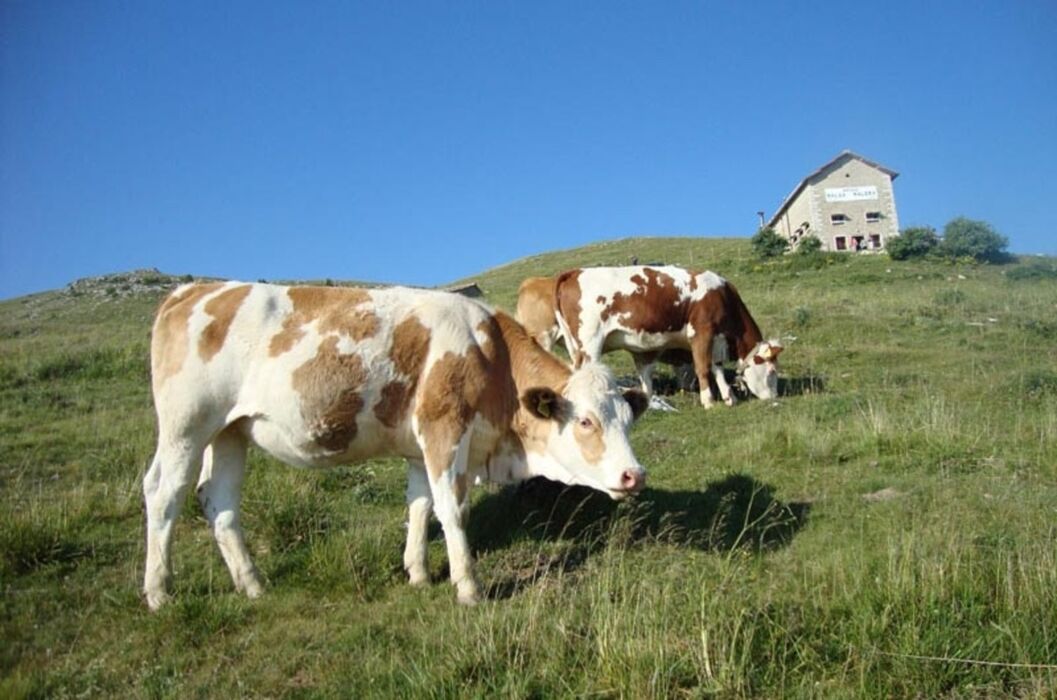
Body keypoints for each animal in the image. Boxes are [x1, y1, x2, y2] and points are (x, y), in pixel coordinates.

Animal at [144, 283, 646, 613]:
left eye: (627, 419)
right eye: (585, 420)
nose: (634, 475)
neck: (490, 354)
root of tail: (195, 288)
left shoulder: (418, 448)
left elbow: (420, 506)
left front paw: (418, 574)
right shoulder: (444, 429)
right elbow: (452, 509)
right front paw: (468, 588)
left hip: (229, 432)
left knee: (219, 501)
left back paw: (252, 584)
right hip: (185, 427)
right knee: (163, 495)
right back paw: (159, 591)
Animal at [549, 268, 782, 412]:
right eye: (772, 372)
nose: (774, 397)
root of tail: (574, 272)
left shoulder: (716, 338)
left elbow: (717, 367)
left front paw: (728, 397)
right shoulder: (701, 331)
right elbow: (702, 367)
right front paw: (708, 401)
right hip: (590, 342)